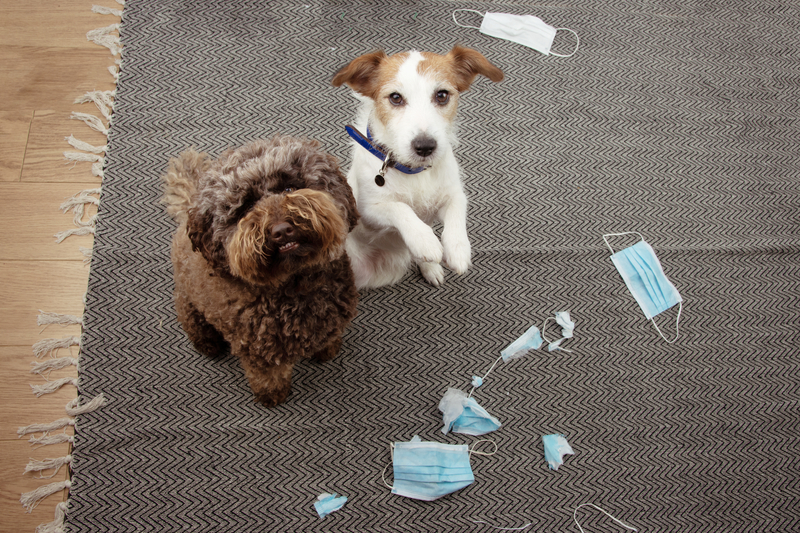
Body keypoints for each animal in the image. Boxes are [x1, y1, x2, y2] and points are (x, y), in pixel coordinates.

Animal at [162, 135, 360, 406]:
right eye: (245, 207)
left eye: (289, 188)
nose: (281, 230)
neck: (294, 287)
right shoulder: (259, 351)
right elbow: (268, 377)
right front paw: (272, 396)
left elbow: (327, 338)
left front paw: (326, 350)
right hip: (188, 302)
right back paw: (207, 343)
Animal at [334, 45, 504, 286]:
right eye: (395, 97)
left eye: (442, 95)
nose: (425, 147)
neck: (414, 172)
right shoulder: (366, 213)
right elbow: (400, 208)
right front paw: (425, 239)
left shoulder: (452, 193)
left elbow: (457, 210)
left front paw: (458, 249)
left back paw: (430, 267)